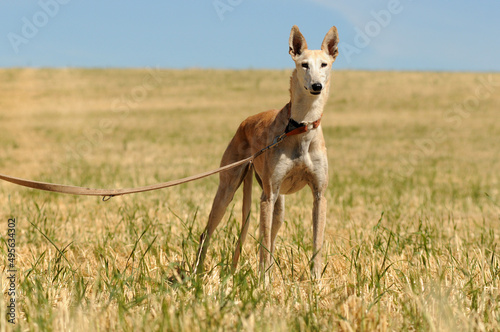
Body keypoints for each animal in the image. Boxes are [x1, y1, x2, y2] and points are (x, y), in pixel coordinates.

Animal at [193, 24, 338, 282]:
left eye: (324, 64)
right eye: (304, 64)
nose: (316, 87)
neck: (300, 127)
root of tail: (245, 122)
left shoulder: (319, 195)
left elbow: (317, 242)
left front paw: (316, 281)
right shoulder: (267, 197)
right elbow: (264, 246)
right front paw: (265, 283)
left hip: (277, 204)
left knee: (268, 236)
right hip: (230, 190)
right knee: (208, 234)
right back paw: (197, 276)